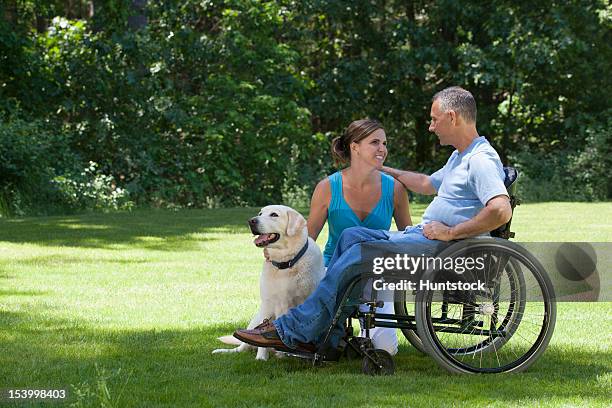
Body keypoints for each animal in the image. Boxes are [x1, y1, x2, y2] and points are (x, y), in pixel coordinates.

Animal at [213, 206, 326, 358]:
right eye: (260, 213)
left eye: (274, 215)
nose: (251, 221)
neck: (286, 263)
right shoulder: (268, 302)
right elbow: (262, 337)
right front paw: (261, 358)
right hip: (255, 320)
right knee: (242, 347)